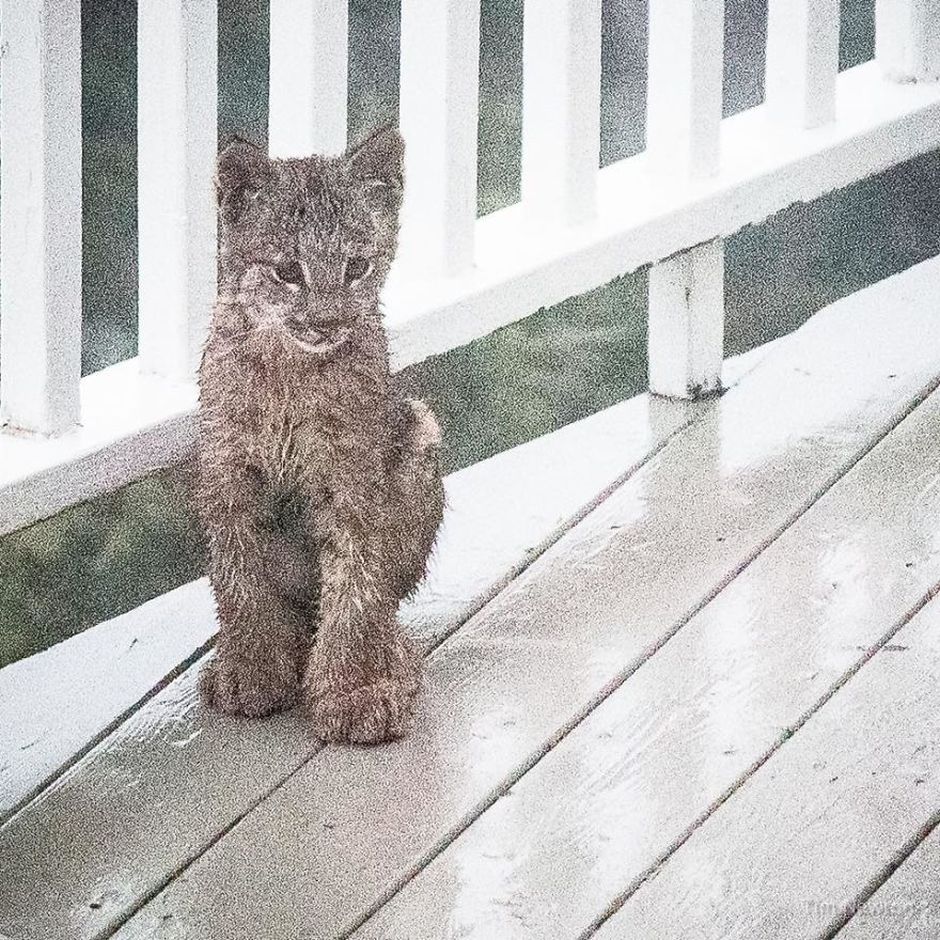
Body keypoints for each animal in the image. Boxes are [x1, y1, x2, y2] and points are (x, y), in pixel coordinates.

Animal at [195, 126, 444, 740]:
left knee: (383, 599)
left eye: (357, 267)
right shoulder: (227, 474)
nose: (328, 323)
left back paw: (389, 656)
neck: (288, 368)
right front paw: (254, 668)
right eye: (288, 272)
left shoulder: (352, 478)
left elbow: (357, 586)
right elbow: (239, 579)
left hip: (419, 436)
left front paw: (351, 689)